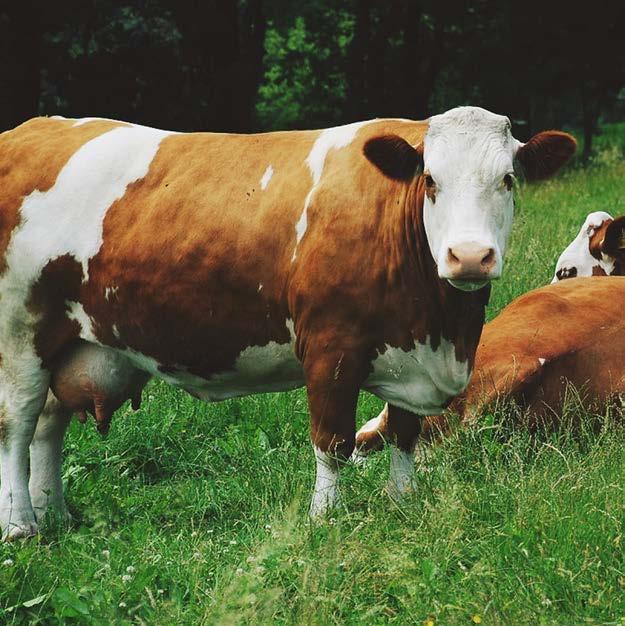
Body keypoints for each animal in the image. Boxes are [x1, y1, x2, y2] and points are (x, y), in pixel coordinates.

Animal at [0, 107, 572, 536]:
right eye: (430, 179)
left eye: (508, 179)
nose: (470, 257)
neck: (440, 326)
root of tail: (30, 128)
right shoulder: (330, 347)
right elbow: (332, 442)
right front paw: (324, 519)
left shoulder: (413, 358)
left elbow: (405, 433)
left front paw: (403, 501)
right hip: (19, 332)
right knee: (18, 422)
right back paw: (21, 526)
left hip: (66, 340)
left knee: (48, 422)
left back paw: (55, 514)